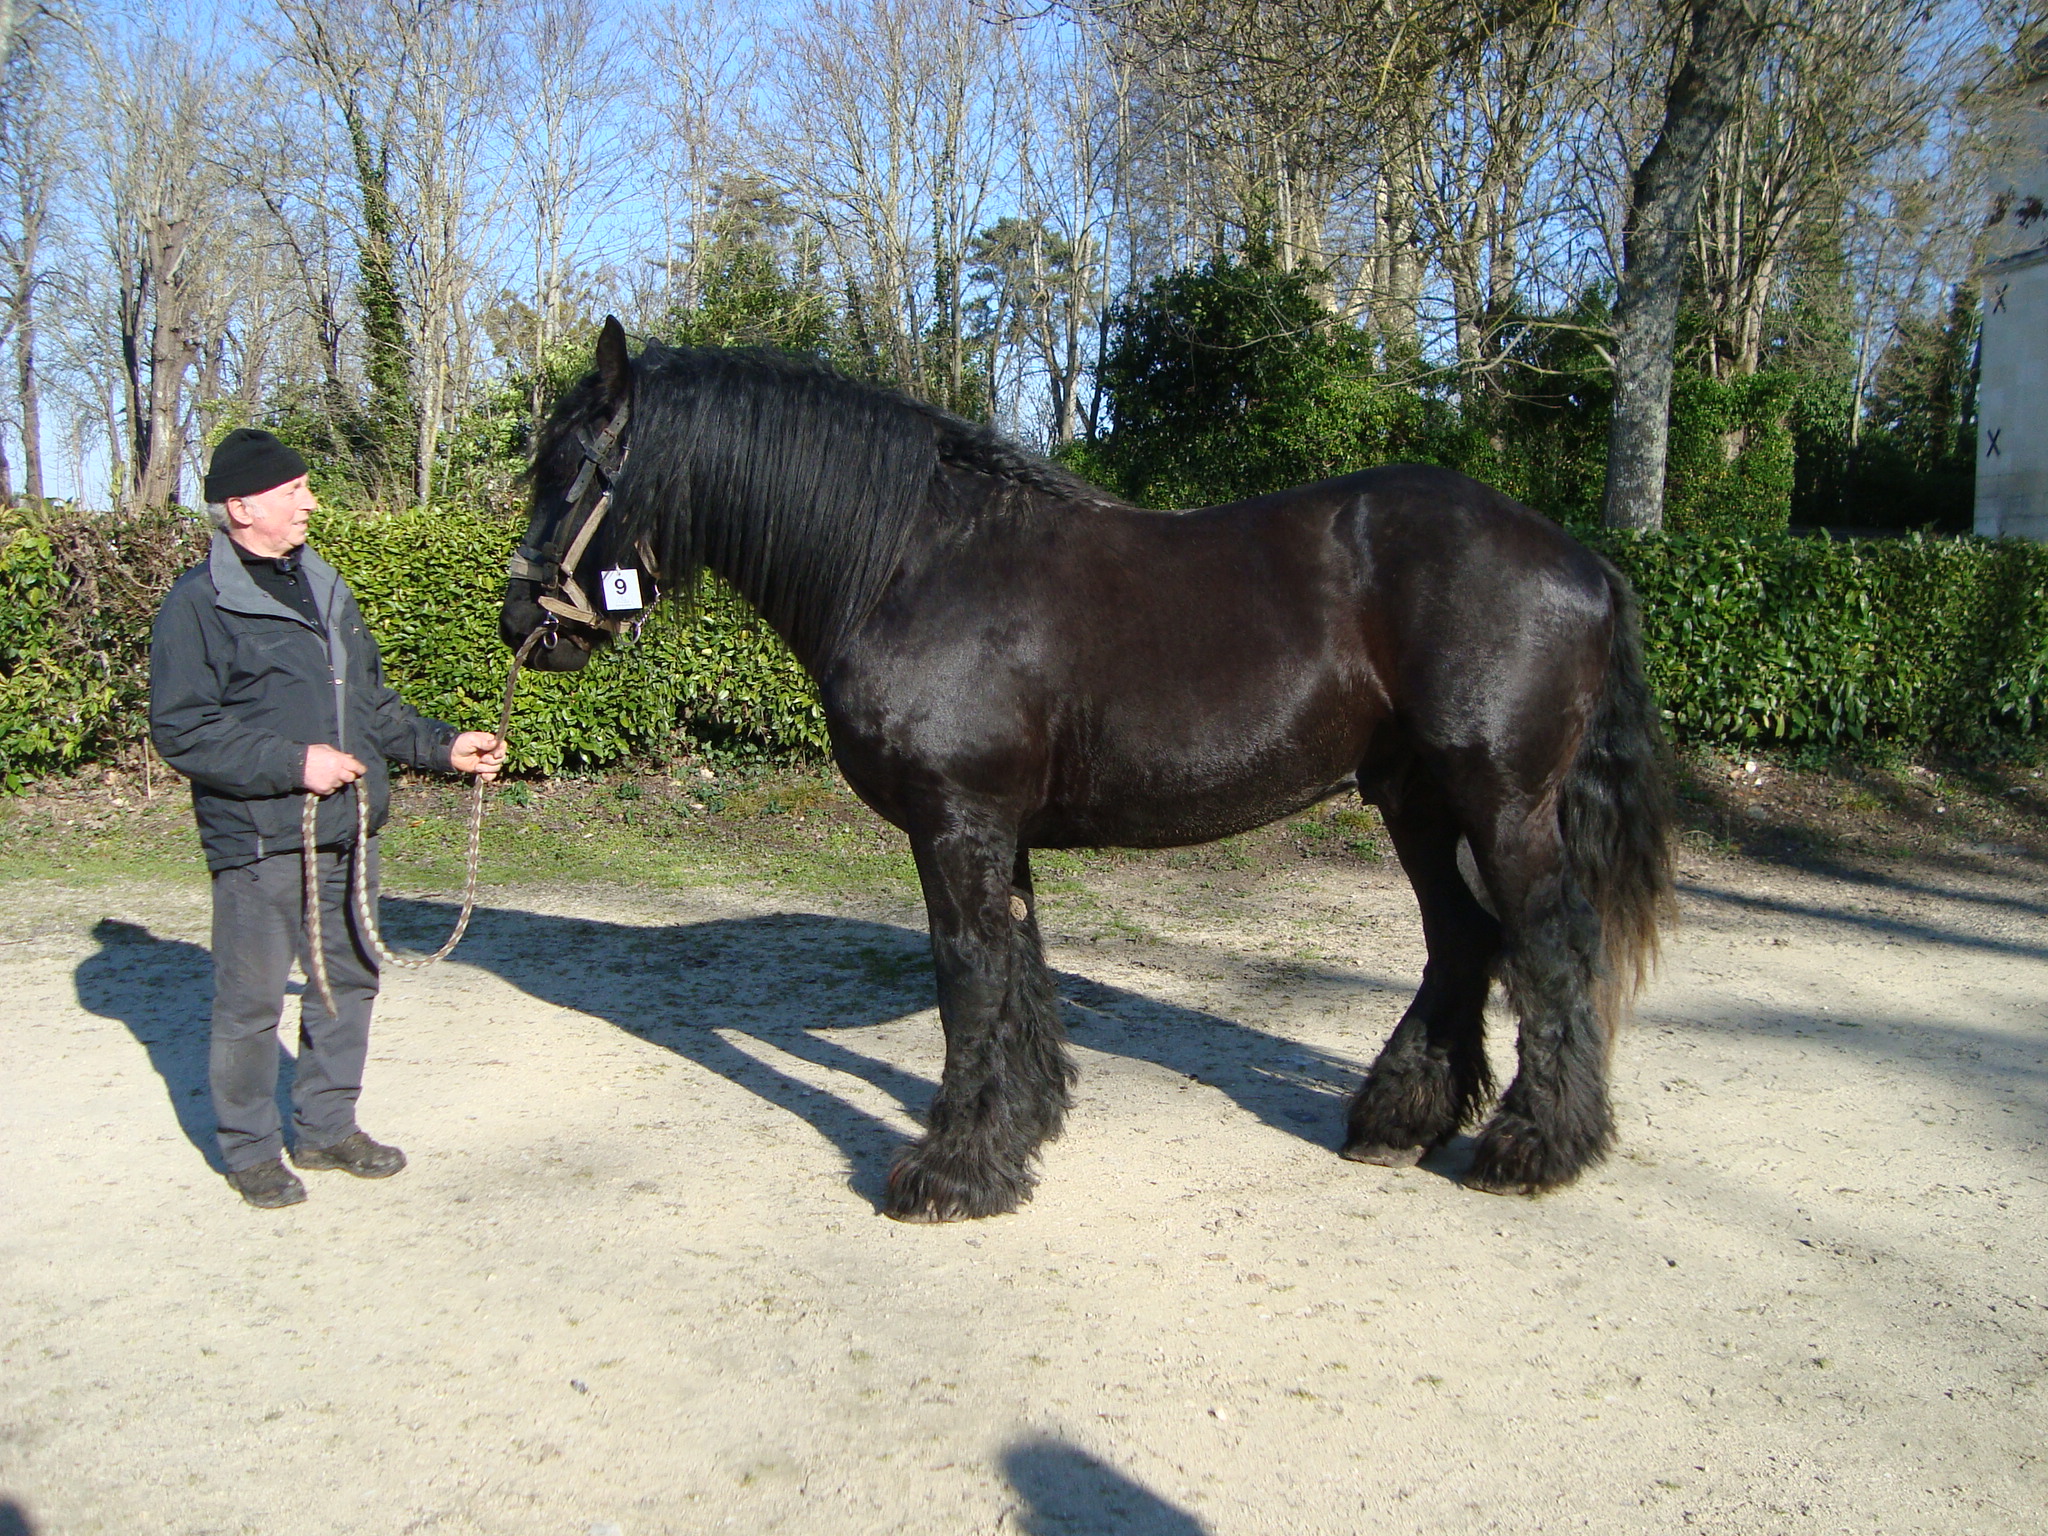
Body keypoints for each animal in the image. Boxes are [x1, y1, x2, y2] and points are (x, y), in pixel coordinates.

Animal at [503, 321, 1671, 1228]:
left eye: (567, 470)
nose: (520, 623)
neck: (909, 563)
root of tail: (1579, 561)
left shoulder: (956, 822)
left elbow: (968, 975)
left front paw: (953, 1172)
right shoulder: (993, 832)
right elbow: (1015, 971)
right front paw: (1019, 1127)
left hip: (1501, 803)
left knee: (1549, 946)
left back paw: (1535, 1146)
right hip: (1414, 800)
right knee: (1460, 939)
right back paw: (1400, 1119)